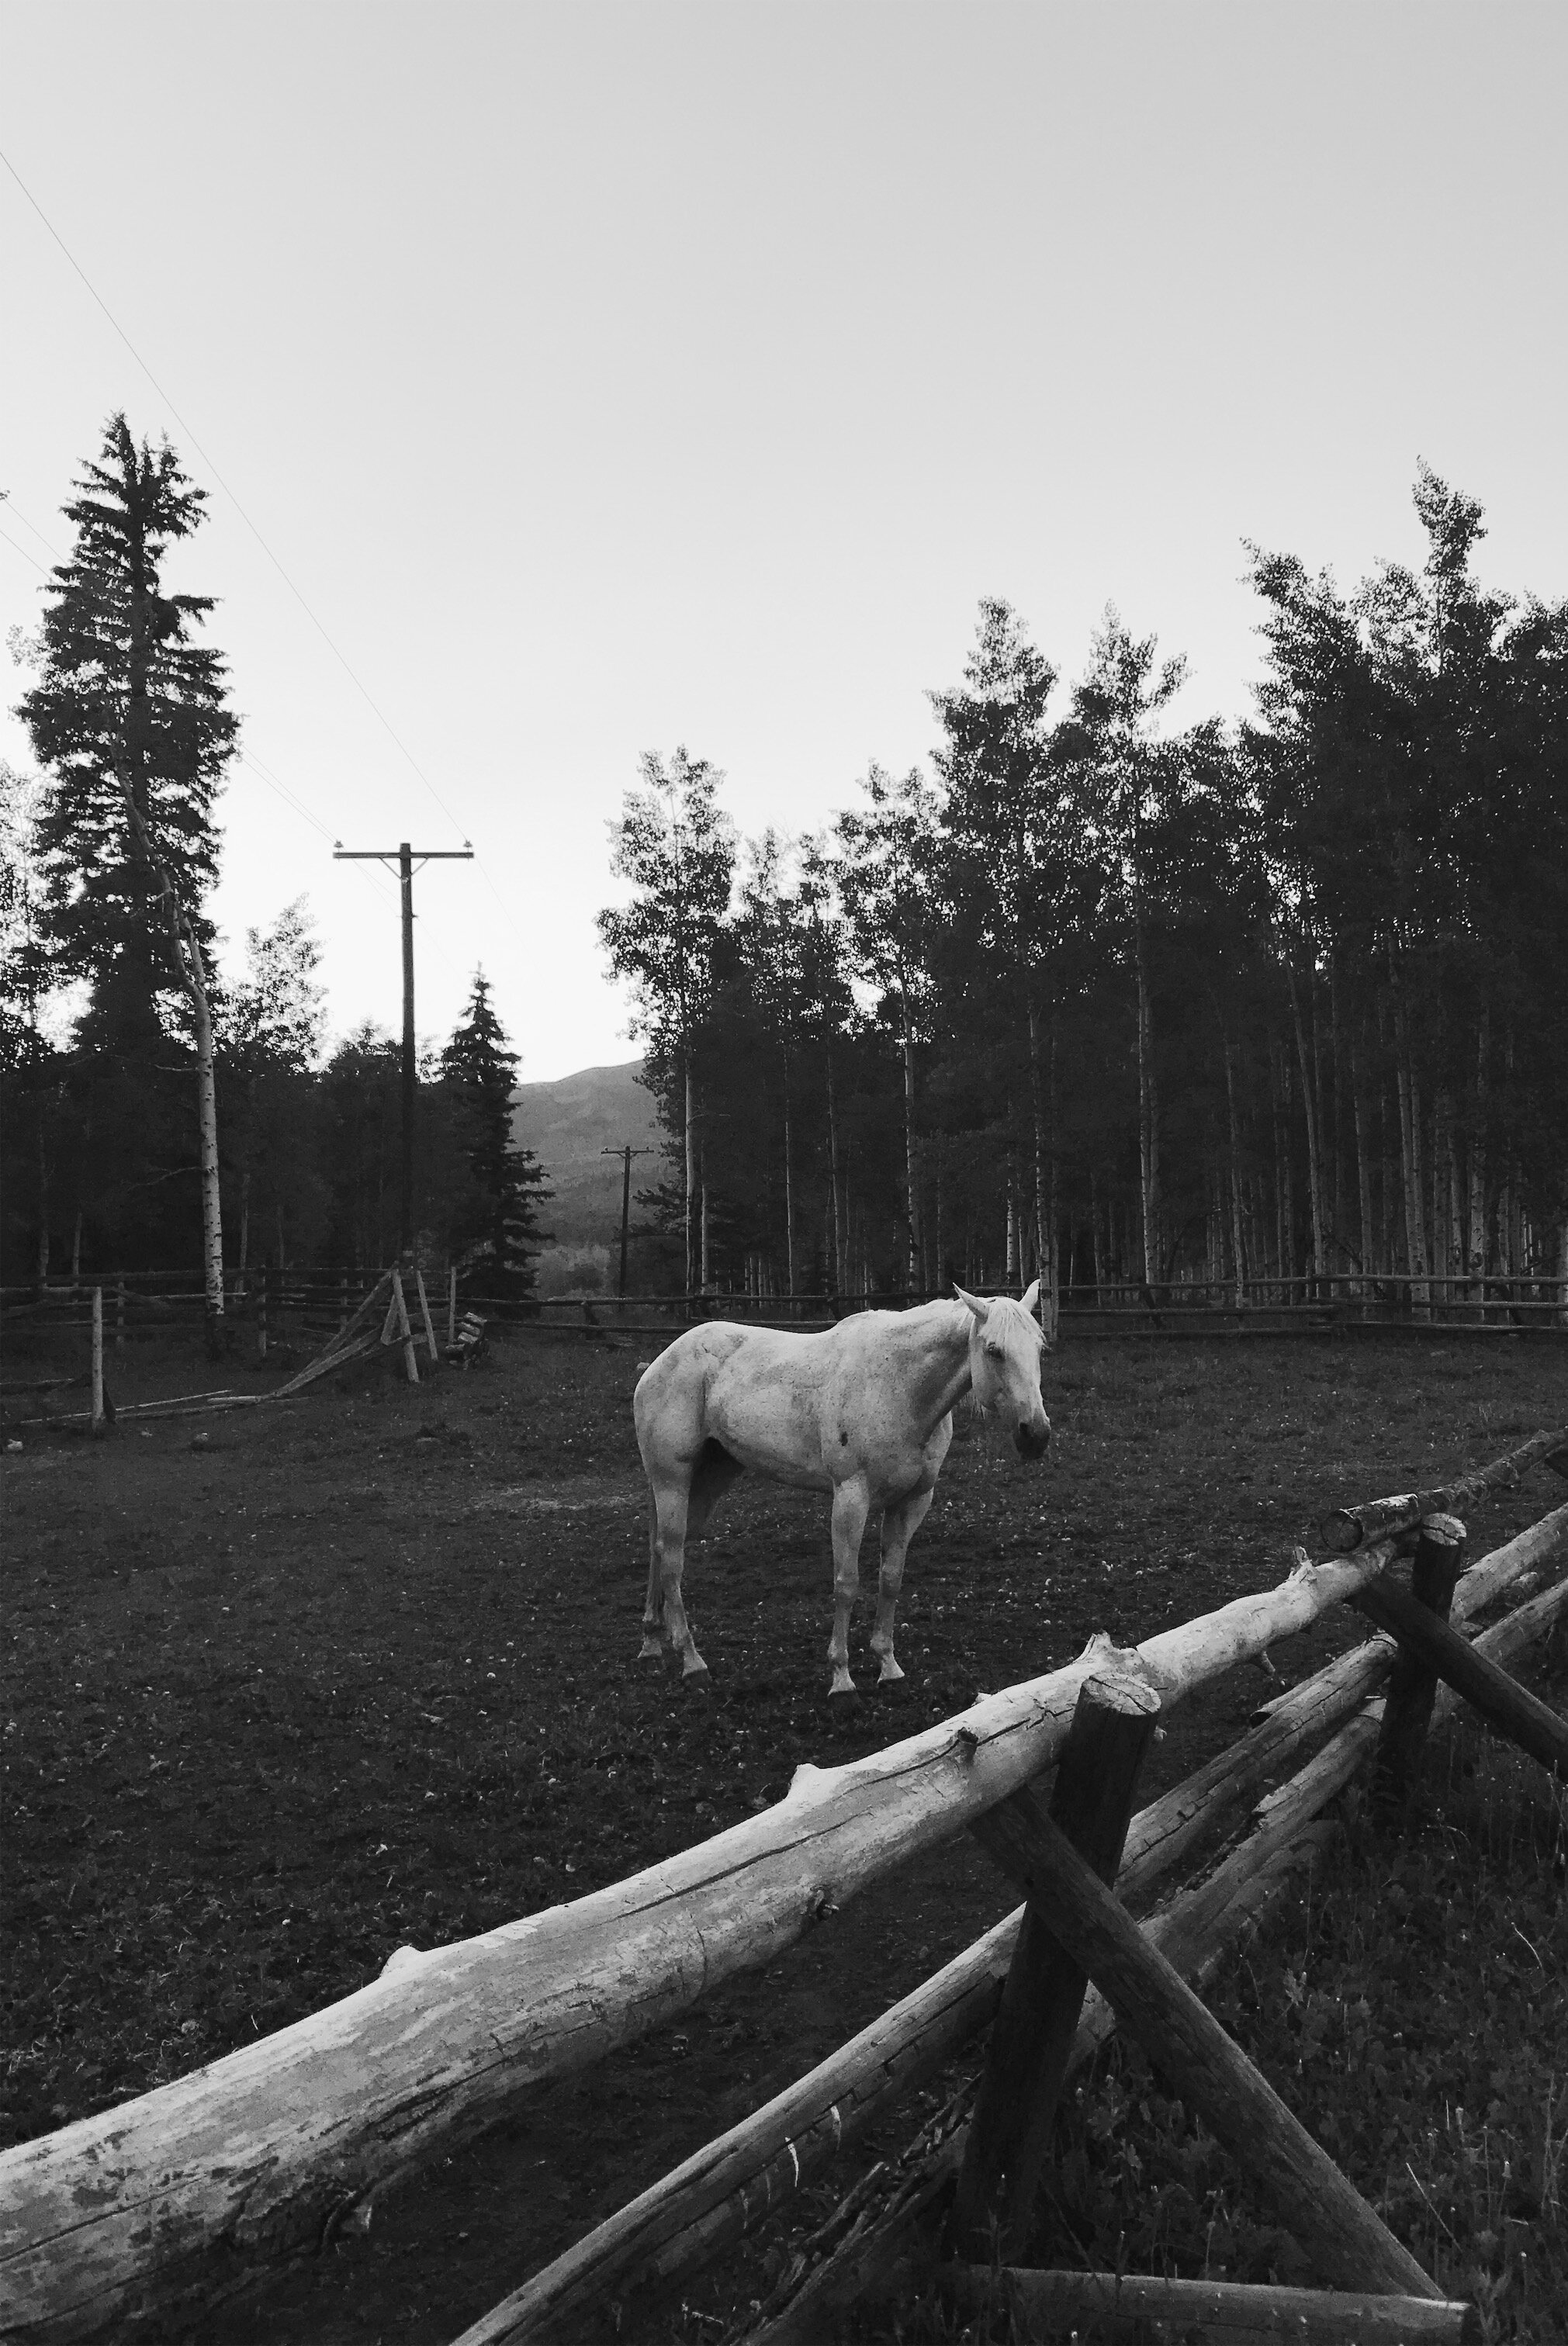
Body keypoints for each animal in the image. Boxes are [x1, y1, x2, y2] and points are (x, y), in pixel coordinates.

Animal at [632, 1282, 1051, 1694]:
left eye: (1039, 1346)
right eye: (994, 1350)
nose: (1036, 1435)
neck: (899, 1386)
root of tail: (658, 1365)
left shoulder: (911, 1501)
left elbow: (890, 1579)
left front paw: (888, 1665)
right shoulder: (851, 1496)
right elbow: (847, 1584)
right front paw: (841, 1677)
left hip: (707, 1479)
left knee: (658, 1549)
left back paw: (652, 1644)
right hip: (672, 1480)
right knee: (671, 1558)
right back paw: (692, 1662)